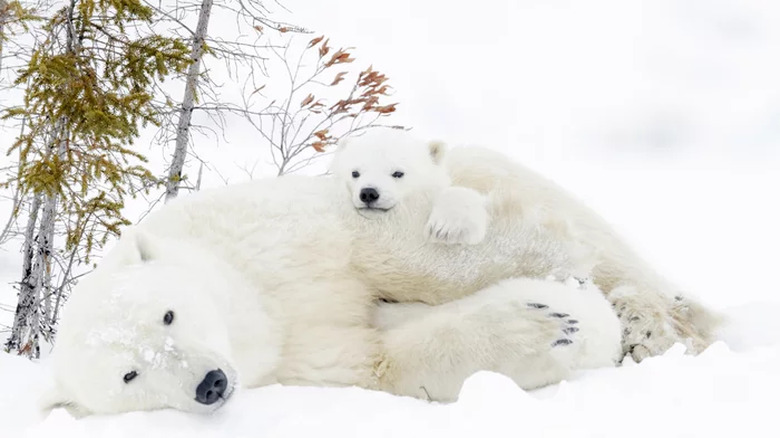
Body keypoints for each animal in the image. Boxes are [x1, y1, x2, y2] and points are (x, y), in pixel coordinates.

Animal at [43, 174, 621, 415]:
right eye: (129, 374)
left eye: (167, 314)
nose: (209, 383)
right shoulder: (297, 362)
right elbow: (378, 362)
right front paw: (544, 327)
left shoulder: (265, 232)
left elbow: (386, 248)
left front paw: (561, 261)